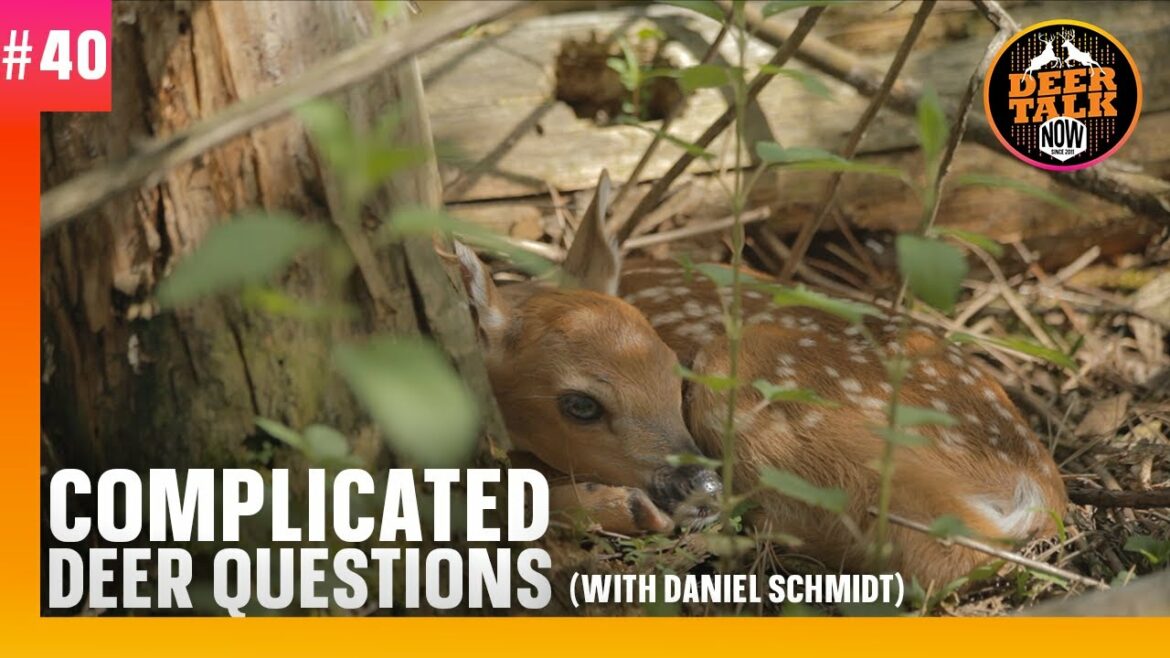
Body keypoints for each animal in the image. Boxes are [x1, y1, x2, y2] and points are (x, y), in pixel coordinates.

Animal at [450, 171, 1067, 587]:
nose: (700, 486)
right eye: (579, 404)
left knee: (929, 550)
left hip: (762, 386)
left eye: (673, 374)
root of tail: (1038, 485)